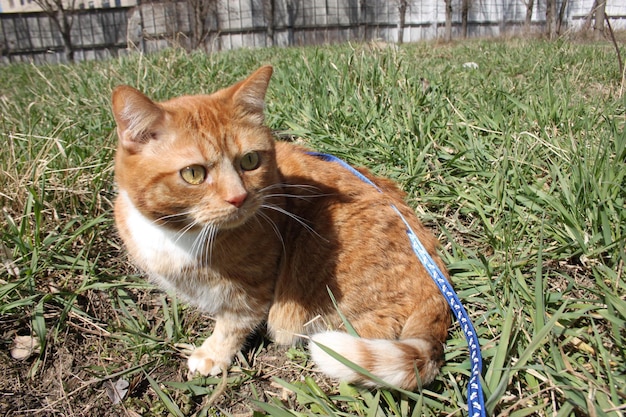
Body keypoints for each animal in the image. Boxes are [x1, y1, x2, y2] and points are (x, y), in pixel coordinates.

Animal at [111, 66, 448, 390]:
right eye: (193, 174)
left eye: (250, 160)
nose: (239, 197)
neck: (178, 233)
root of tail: (435, 275)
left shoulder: (252, 290)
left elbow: (232, 325)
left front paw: (213, 354)